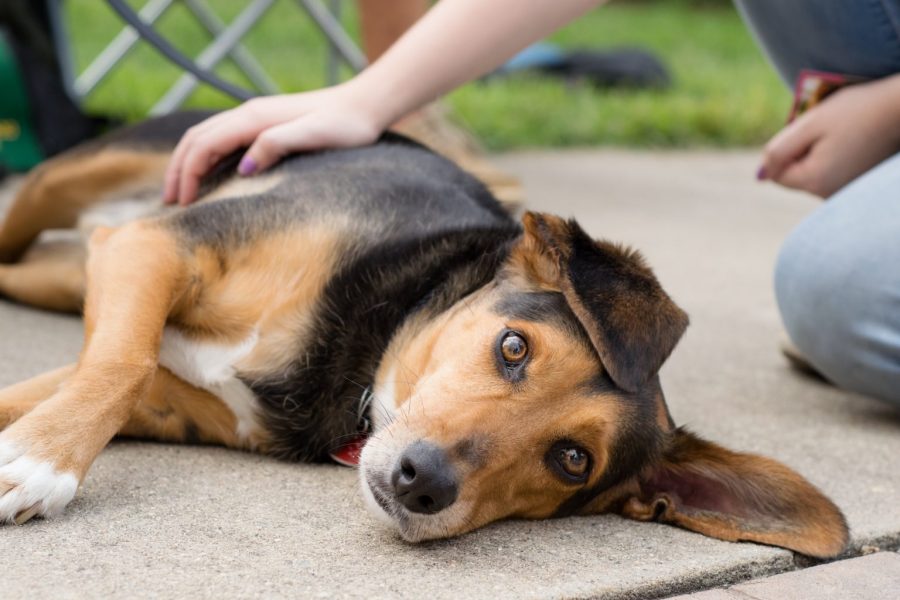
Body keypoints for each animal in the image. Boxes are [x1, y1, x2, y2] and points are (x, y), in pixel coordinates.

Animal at [0, 112, 852, 556]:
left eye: (572, 460)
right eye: (514, 348)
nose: (422, 481)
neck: (365, 348)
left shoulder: (170, 376)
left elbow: (103, 376)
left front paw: (34, 448)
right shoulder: (154, 248)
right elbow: (118, 364)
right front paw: (41, 466)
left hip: (63, 270)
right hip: (75, 188)